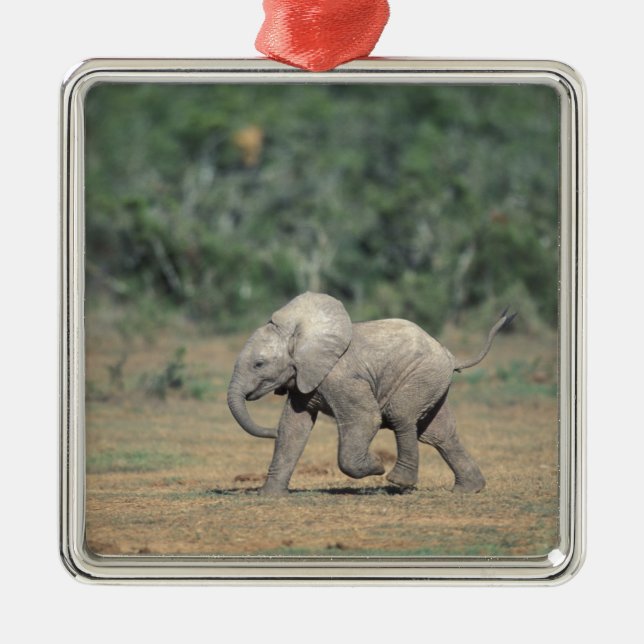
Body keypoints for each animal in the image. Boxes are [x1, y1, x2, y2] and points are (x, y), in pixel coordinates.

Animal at [227, 291, 515, 496]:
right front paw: (268, 496)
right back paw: (468, 489)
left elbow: (366, 418)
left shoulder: (340, 377)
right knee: (439, 434)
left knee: (402, 416)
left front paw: (376, 465)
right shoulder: (304, 378)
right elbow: (293, 427)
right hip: (433, 382)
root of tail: (450, 355)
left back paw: (397, 482)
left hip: (421, 375)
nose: (269, 431)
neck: (301, 334)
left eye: (259, 364)